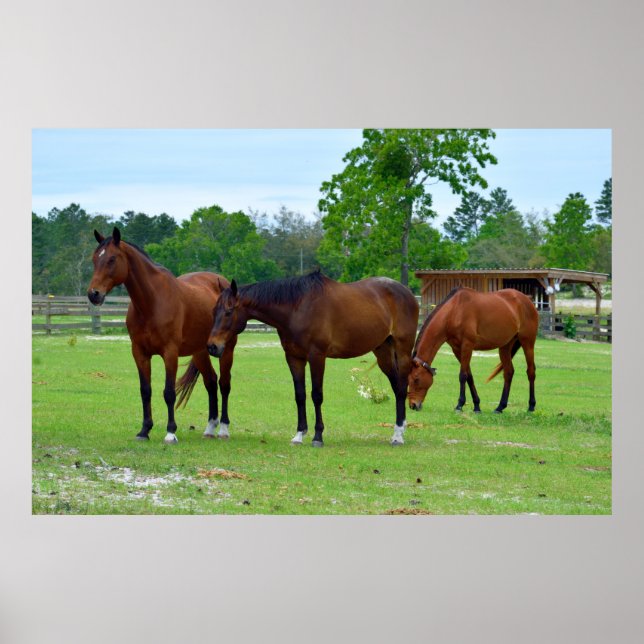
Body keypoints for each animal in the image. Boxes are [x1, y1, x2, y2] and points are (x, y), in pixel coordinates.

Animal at [87, 227, 236, 443]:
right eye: (94, 259)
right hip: (200, 351)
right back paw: (210, 428)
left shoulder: (170, 353)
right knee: (210, 382)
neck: (152, 302)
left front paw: (170, 432)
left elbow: (169, 392)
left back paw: (223, 429)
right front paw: (144, 430)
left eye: (112, 259)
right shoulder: (139, 353)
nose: (94, 294)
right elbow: (145, 391)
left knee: (224, 384)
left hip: (227, 349)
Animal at [206, 270, 419, 446]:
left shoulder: (317, 356)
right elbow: (300, 395)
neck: (298, 309)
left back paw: (398, 436)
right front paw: (299, 435)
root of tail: (406, 293)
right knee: (396, 386)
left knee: (401, 388)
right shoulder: (294, 358)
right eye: (213, 311)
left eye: (228, 312)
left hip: (402, 350)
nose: (212, 346)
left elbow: (317, 395)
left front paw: (318, 436)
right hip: (383, 351)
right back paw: (399, 430)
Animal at [407, 286, 538, 414]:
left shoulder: (467, 346)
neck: (454, 311)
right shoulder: (457, 350)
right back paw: (500, 407)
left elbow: (462, 375)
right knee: (508, 372)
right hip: (505, 346)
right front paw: (476, 406)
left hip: (527, 343)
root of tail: (527, 300)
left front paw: (459, 405)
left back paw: (531, 406)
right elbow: (469, 376)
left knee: (530, 371)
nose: (413, 405)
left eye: (416, 379)